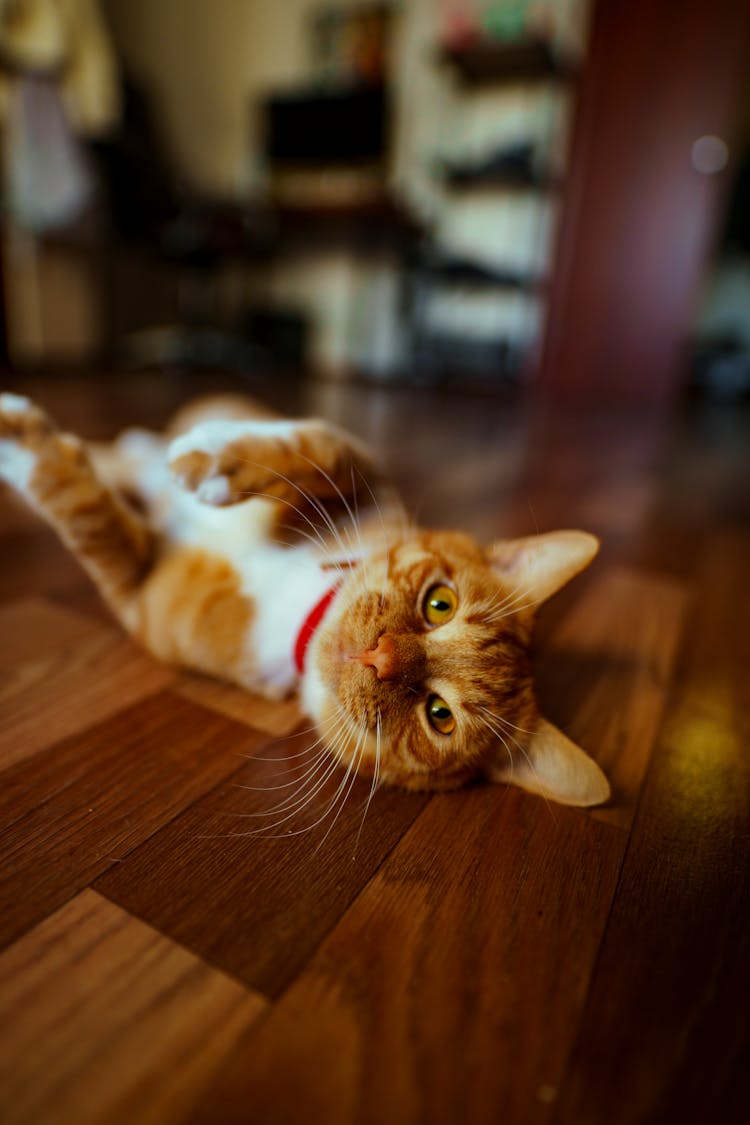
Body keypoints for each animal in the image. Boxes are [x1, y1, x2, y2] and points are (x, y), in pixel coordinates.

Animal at [0, 393, 611, 810]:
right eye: (440, 604)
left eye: (439, 716)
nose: (380, 657)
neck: (302, 606)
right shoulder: (364, 478)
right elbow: (321, 449)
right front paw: (214, 460)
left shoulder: (141, 587)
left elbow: (80, 507)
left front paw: (19, 442)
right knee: (132, 449)